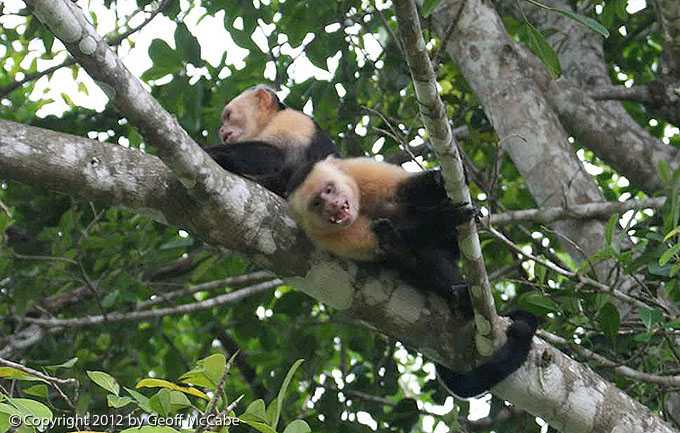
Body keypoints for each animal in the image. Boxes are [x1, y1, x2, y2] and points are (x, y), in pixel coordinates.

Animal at [286, 156, 538, 398]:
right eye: (317, 204)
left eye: (329, 190)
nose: (333, 206)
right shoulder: (326, 236)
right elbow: (390, 239)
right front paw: (441, 219)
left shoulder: (357, 172)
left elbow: (405, 189)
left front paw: (440, 180)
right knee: (412, 254)